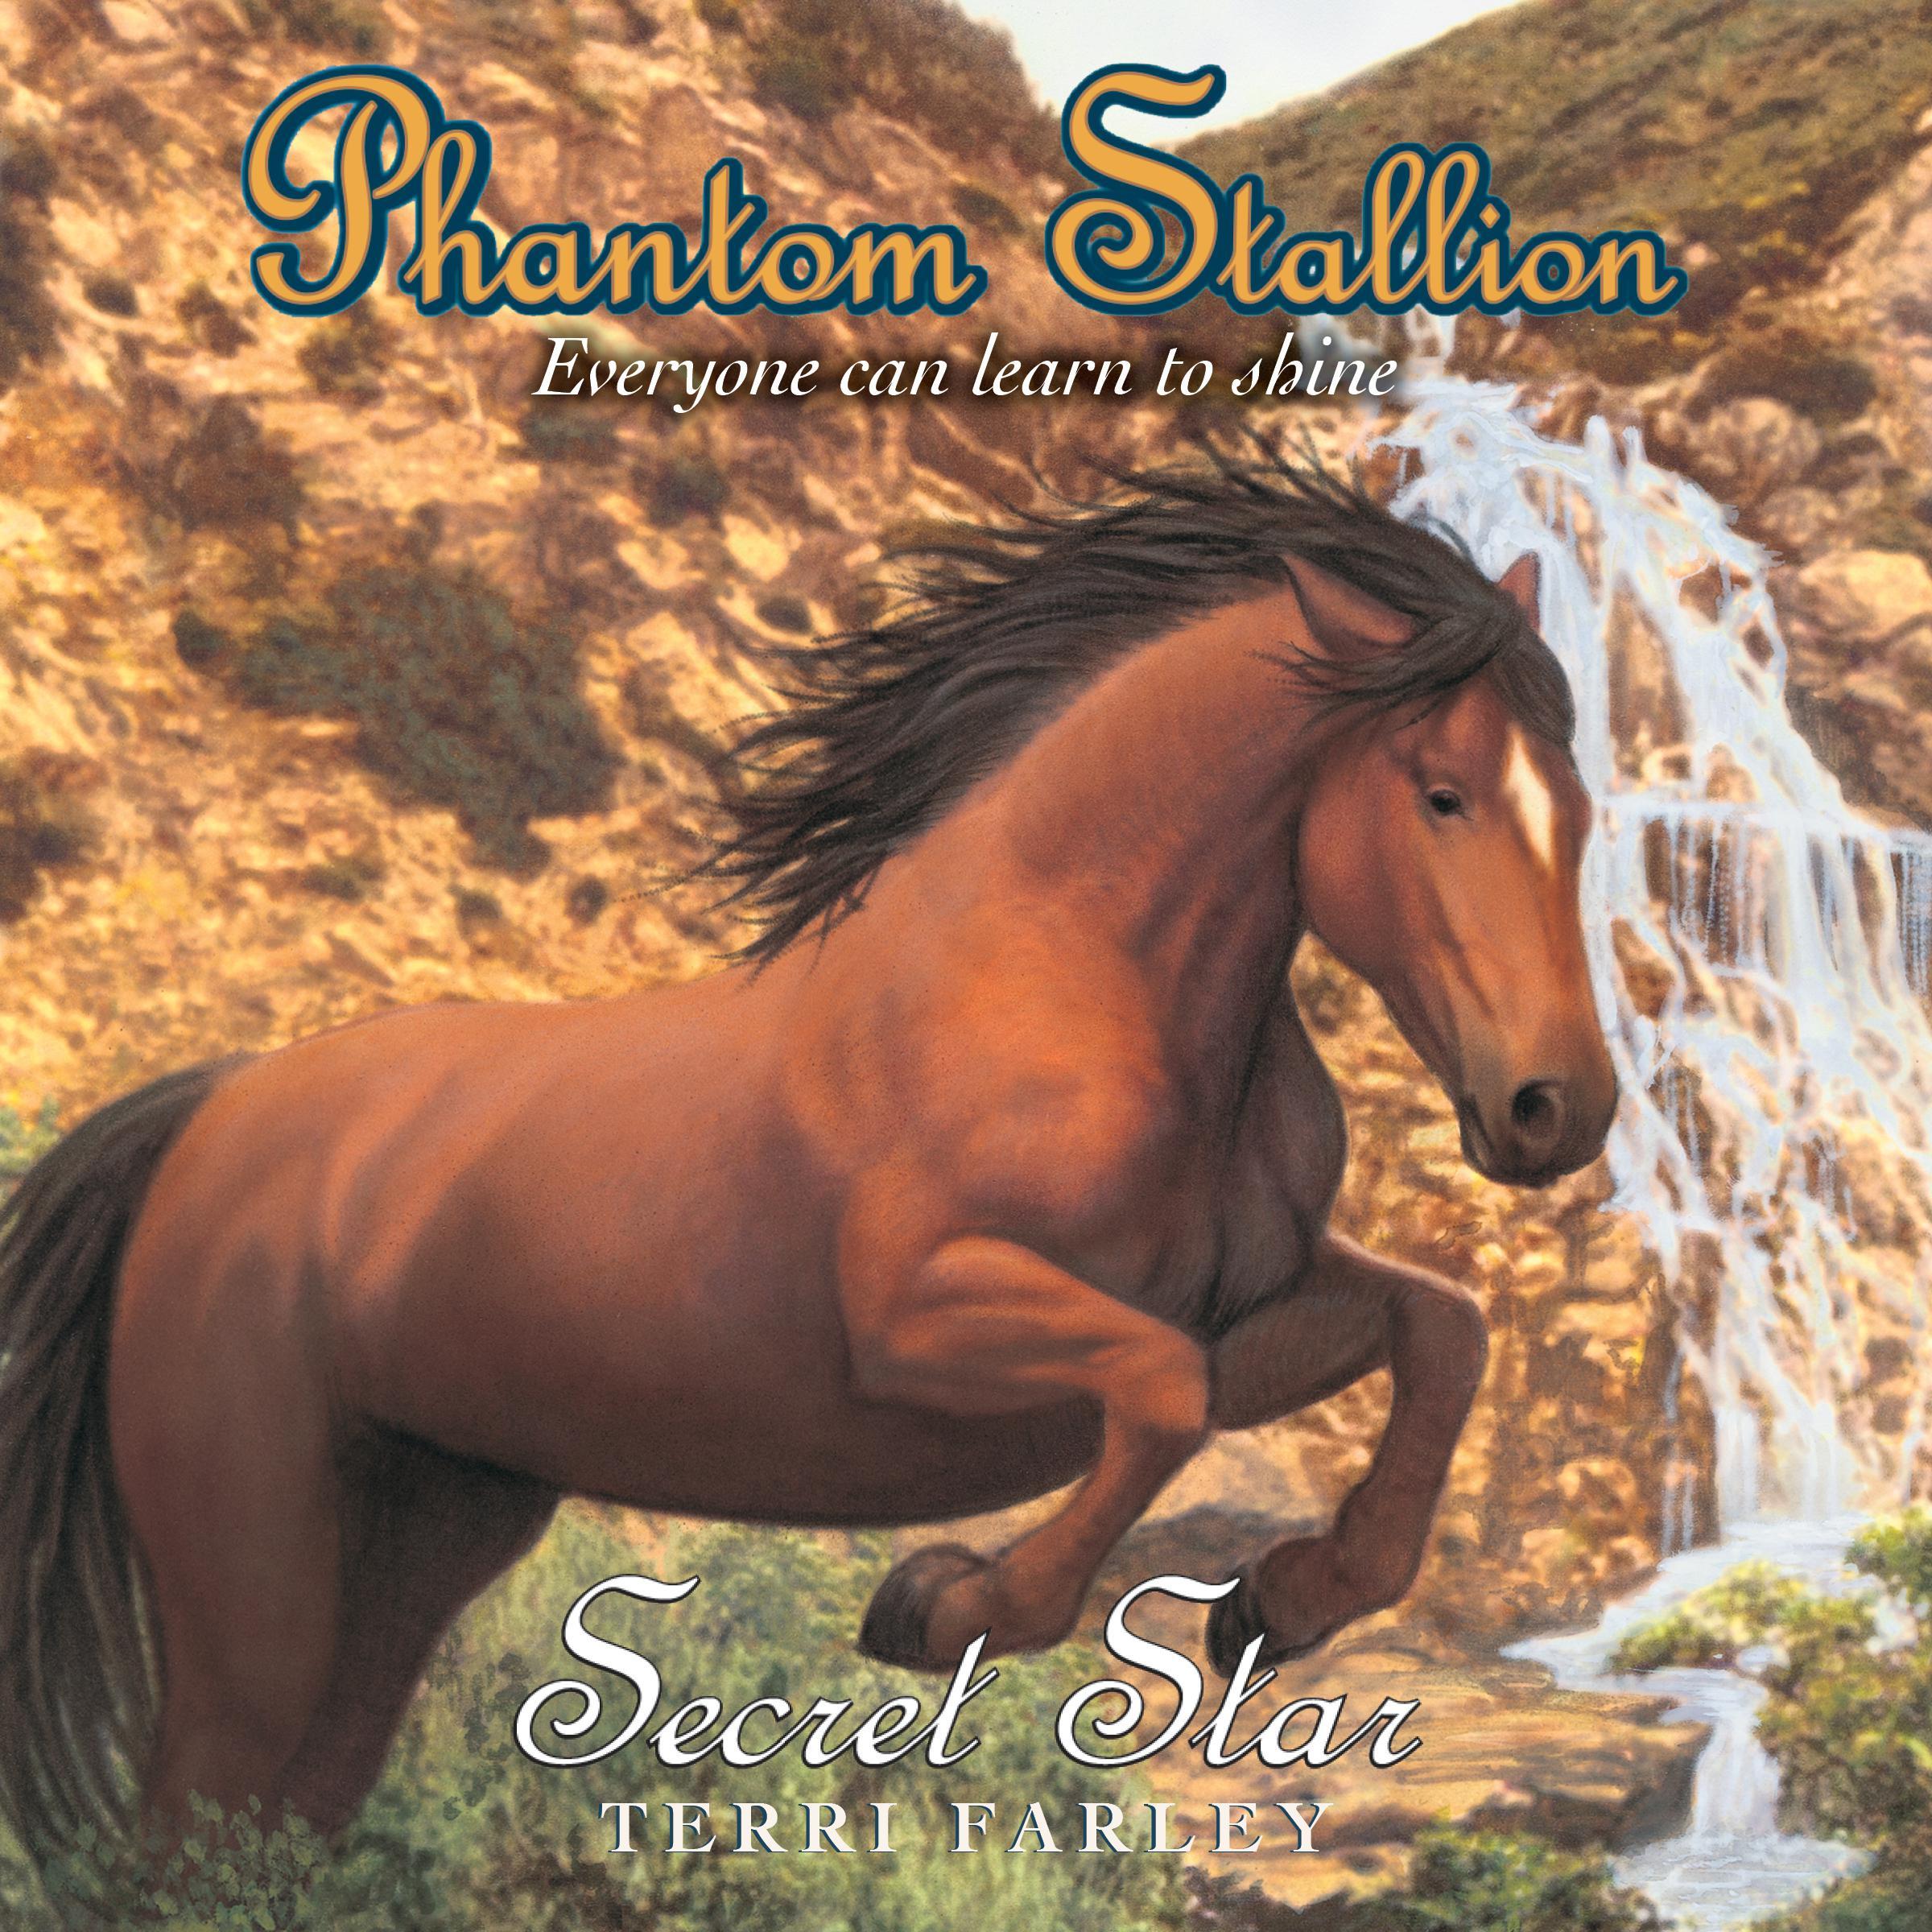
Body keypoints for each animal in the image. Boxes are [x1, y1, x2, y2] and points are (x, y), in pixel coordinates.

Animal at [0, 447, 1616, 1875]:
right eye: (1441, 791)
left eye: (1582, 801)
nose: (1560, 1112)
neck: (1081, 973)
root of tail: (211, 1110)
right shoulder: (919, 1323)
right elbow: (1162, 1391)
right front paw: (947, 1606)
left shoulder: (1260, 1311)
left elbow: (1436, 1329)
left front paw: (1286, 1601)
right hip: (260, 1586)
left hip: (419, 1546)